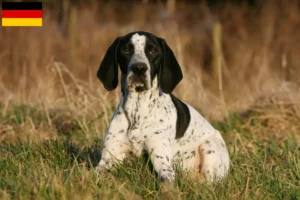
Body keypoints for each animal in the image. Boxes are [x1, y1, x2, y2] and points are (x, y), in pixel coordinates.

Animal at [95, 30, 230, 183]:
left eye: (153, 51)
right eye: (126, 50)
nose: (139, 68)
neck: (137, 111)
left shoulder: (161, 160)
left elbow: (166, 181)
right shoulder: (108, 158)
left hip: (209, 148)